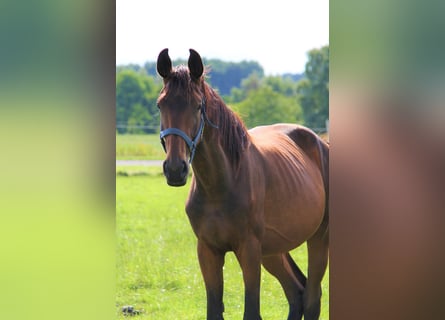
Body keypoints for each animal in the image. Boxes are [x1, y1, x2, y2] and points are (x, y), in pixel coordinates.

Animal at [155, 48, 326, 320]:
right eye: (161, 104)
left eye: (198, 105)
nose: (174, 169)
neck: (221, 185)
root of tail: (319, 142)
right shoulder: (208, 251)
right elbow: (214, 310)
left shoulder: (249, 250)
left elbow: (252, 311)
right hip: (274, 251)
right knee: (296, 292)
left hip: (318, 238)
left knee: (311, 297)